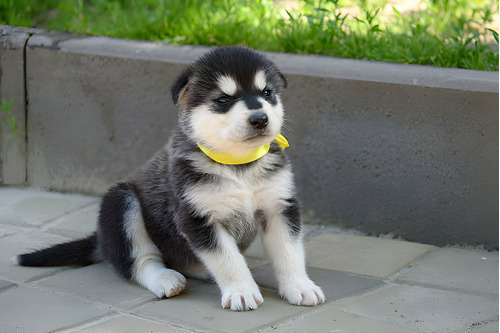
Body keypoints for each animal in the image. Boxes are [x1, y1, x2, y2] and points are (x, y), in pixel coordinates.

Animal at [17, 45, 326, 310]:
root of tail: (100, 240)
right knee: (141, 261)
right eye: (223, 99)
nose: (260, 119)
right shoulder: (197, 217)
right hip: (121, 202)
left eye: (267, 92)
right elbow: (227, 259)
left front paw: (299, 286)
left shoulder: (279, 206)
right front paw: (241, 291)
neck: (238, 165)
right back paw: (165, 278)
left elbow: (289, 253)